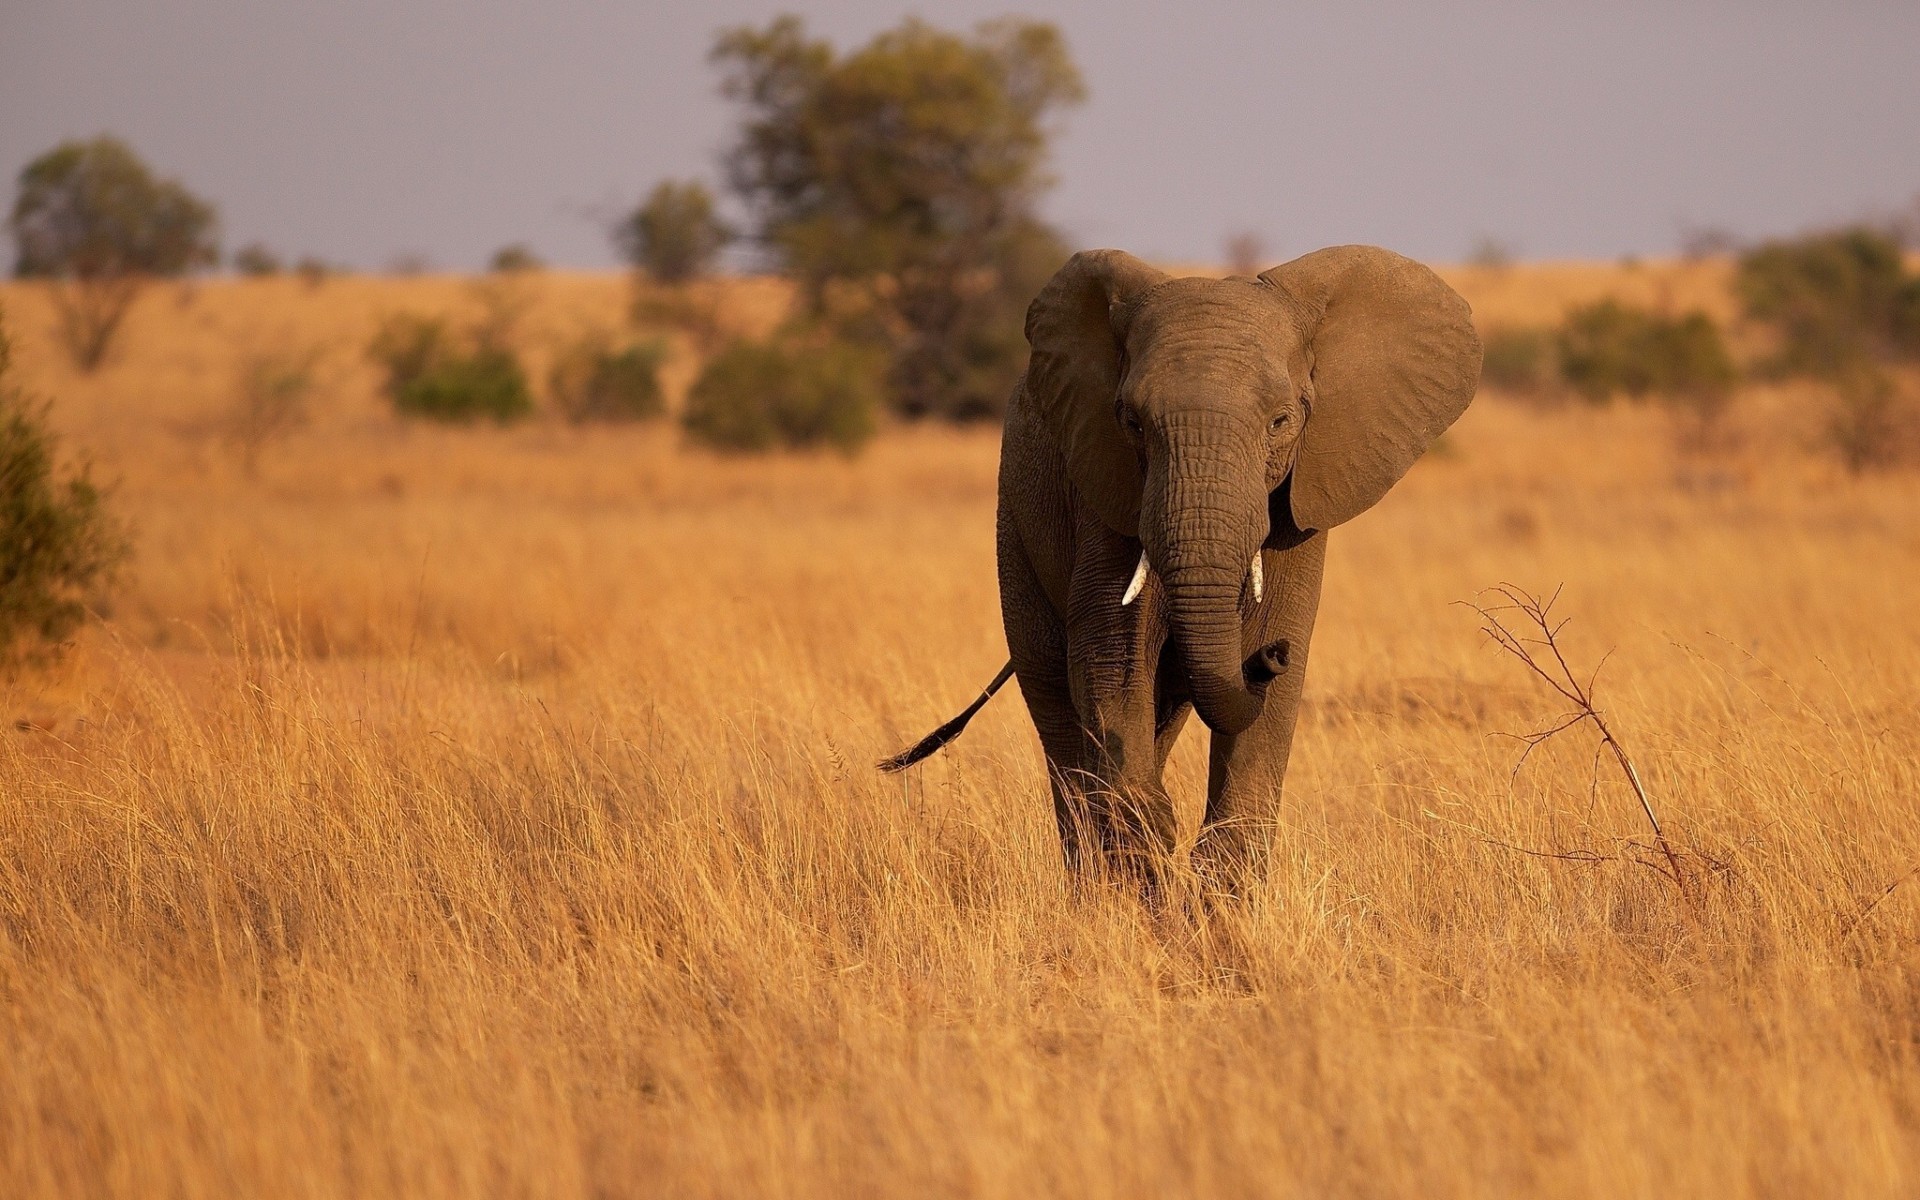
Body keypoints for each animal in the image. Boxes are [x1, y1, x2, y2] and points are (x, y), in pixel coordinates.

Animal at [884, 245, 1480, 893]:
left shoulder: (1303, 501)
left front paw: (1214, 897)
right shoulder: (1108, 485)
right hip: (1014, 524)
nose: (1267, 656)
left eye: (1281, 421)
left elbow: (1273, 685)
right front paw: (1151, 840)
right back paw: (1095, 884)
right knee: (1055, 701)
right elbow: (1109, 655)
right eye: (1132, 422)